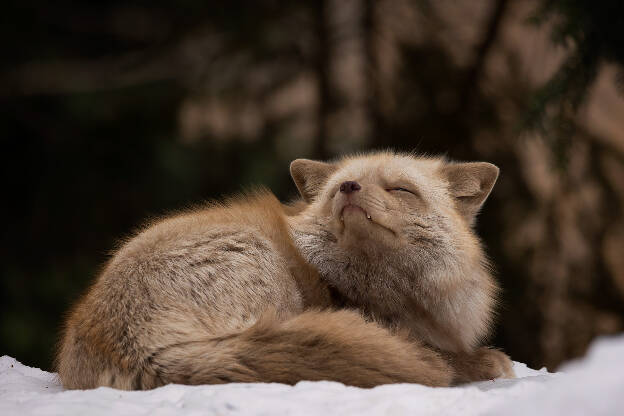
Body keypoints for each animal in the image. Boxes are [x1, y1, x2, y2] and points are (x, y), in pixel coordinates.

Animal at [56, 152, 516, 390]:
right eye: (336, 190)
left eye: (400, 189)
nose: (348, 188)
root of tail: (137, 347)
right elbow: (444, 359)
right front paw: (479, 363)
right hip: (263, 266)